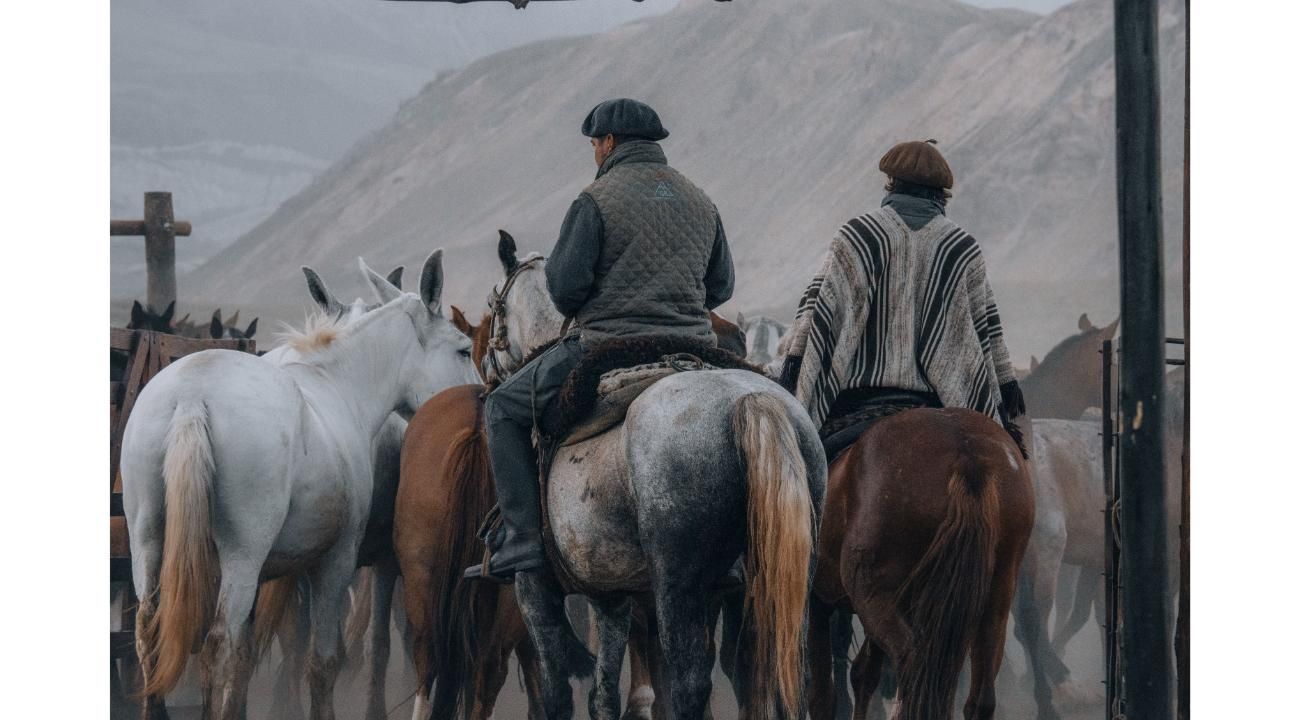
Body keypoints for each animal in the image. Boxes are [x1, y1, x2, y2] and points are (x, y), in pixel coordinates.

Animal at [120, 251, 477, 719]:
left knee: (150, 636)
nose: (479, 398)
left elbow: (249, 655)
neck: (340, 385)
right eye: (464, 349)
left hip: (147, 542)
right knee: (217, 645)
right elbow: (322, 661)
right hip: (241, 556)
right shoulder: (336, 560)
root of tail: (192, 399)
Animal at [480, 233, 824, 720]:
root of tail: (752, 402)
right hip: (780, 577)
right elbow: (602, 692)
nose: (485, 371)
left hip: (680, 588)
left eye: (496, 307)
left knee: (690, 686)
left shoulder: (535, 592)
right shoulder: (609, 594)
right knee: (771, 673)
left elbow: (557, 694)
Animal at [807, 408, 1035, 720]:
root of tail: (967, 455)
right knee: (981, 691)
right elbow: (864, 673)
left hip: (875, 594)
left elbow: (823, 696)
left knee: (912, 664)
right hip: (997, 592)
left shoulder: (820, 599)